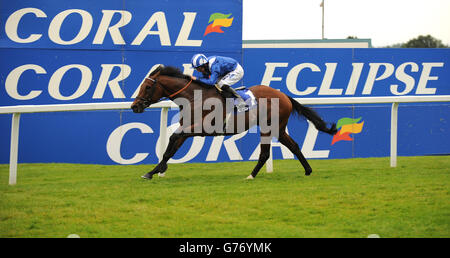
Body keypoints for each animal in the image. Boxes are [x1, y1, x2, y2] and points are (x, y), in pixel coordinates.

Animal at [132, 65, 336, 179]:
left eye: (148, 87)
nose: (135, 106)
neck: (194, 98)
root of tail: (283, 95)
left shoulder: (200, 128)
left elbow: (173, 138)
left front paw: (159, 169)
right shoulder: (187, 128)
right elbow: (170, 149)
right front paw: (153, 172)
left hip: (269, 127)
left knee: (265, 153)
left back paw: (251, 175)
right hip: (278, 129)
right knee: (292, 146)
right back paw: (307, 170)